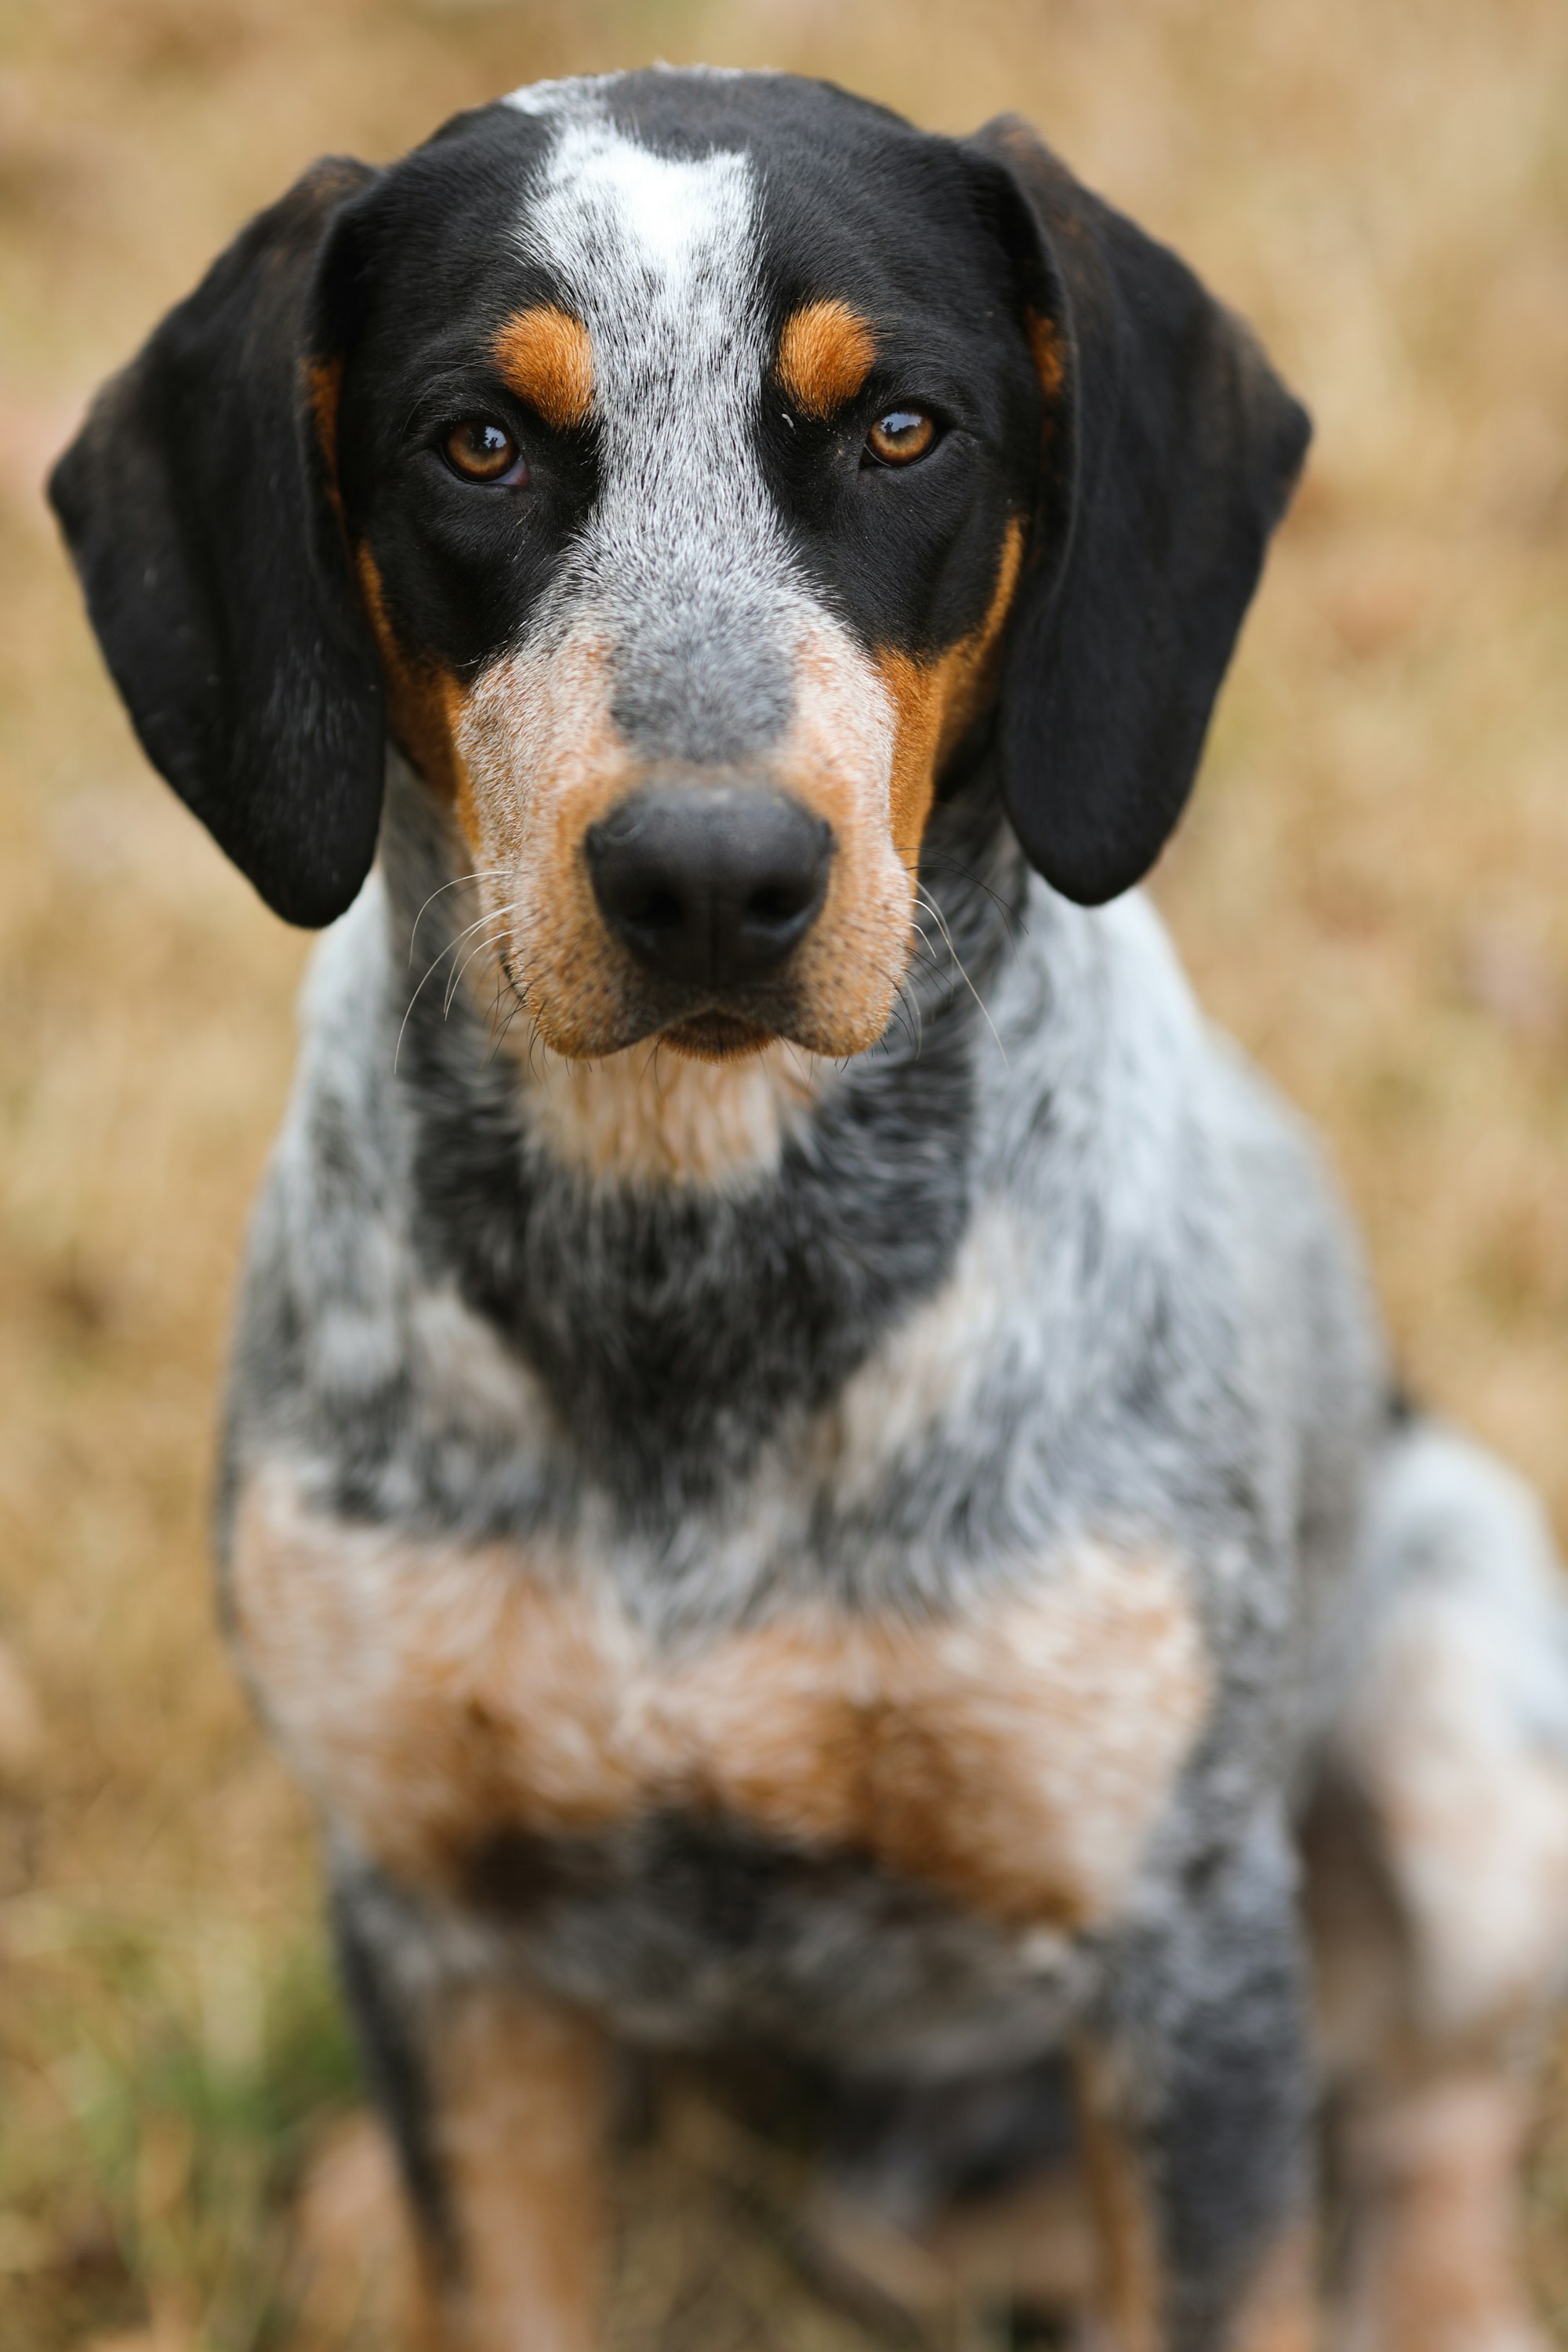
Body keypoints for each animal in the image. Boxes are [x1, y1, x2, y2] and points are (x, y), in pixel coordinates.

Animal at [45, 68, 1568, 2352]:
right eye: (475, 441)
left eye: (902, 428)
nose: (706, 877)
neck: (698, 1264)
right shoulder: (443, 1930)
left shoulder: (1183, 1961)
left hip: (1471, 1708)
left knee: (1433, 2110)